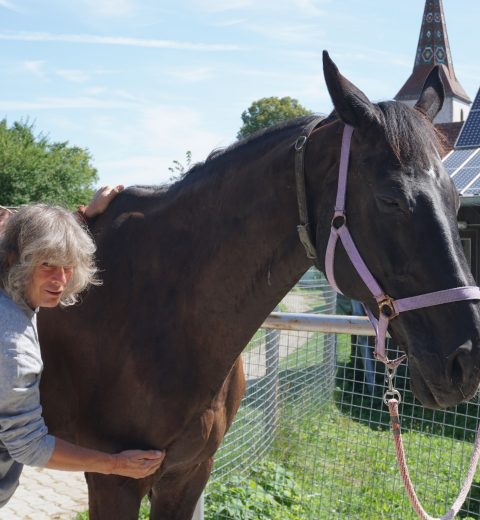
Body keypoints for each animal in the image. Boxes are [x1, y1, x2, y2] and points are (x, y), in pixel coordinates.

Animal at [36, 53, 480, 520]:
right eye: (391, 199)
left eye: (454, 199)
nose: (467, 360)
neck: (157, 308)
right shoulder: (113, 481)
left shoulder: (187, 475)